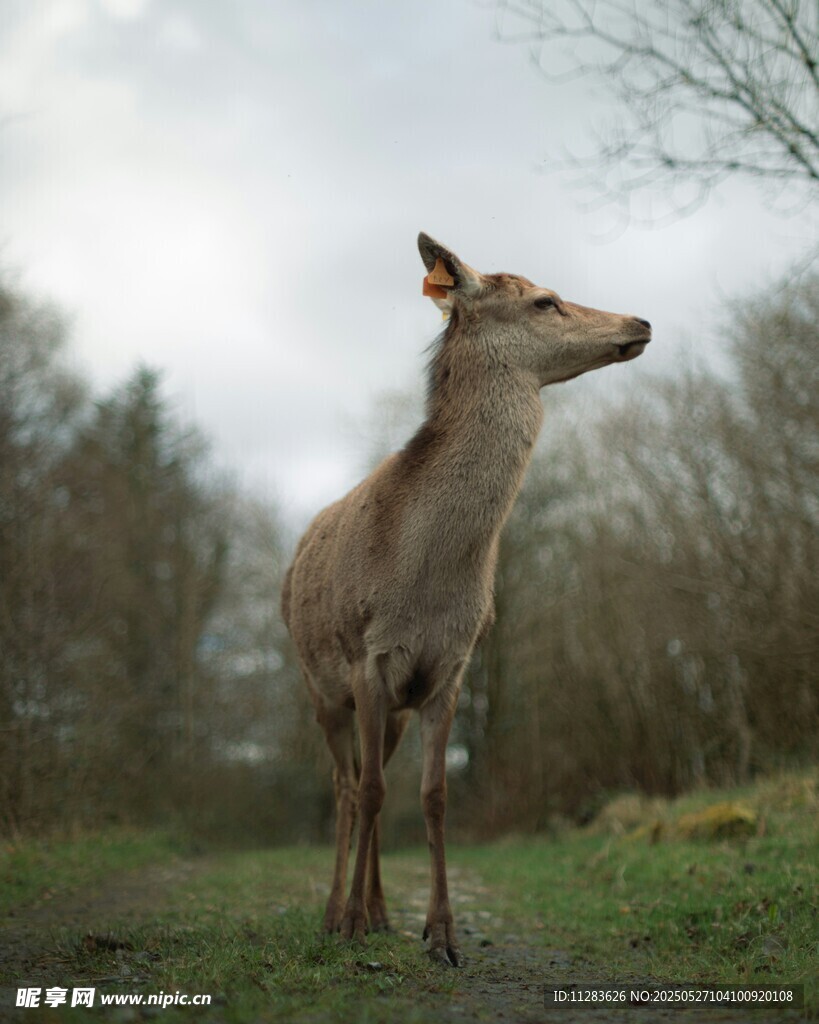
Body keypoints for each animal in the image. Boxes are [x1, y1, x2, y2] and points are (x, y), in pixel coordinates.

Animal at [280, 233, 651, 967]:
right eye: (546, 300)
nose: (640, 321)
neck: (428, 580)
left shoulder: (446, 670)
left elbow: (431, 796)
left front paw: (441, 934)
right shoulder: (368, 660)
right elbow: (370, 791)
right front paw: (351, 923)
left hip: (390, 709)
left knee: (371, 782)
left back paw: (379, 911)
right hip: (321, 688)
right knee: (345, 786)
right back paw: (337, 913)